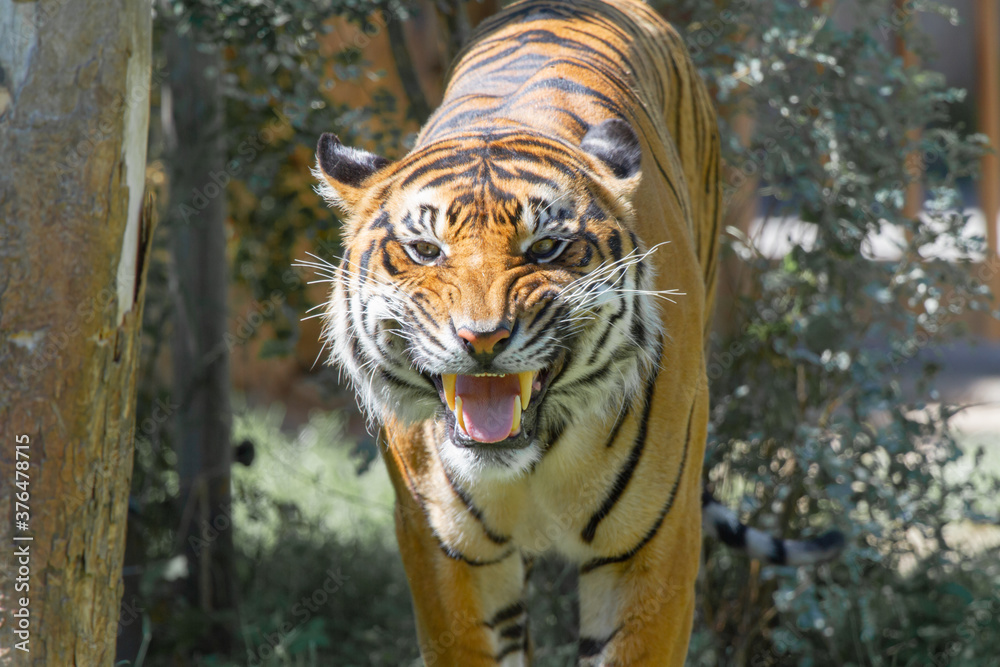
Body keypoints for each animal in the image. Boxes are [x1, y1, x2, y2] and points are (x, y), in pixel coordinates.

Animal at [312, 0, 842, 664]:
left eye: (545, 248)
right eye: (425, 251)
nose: (481, 339)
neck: (533, 455)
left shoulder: (652, 548)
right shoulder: (445, 553)